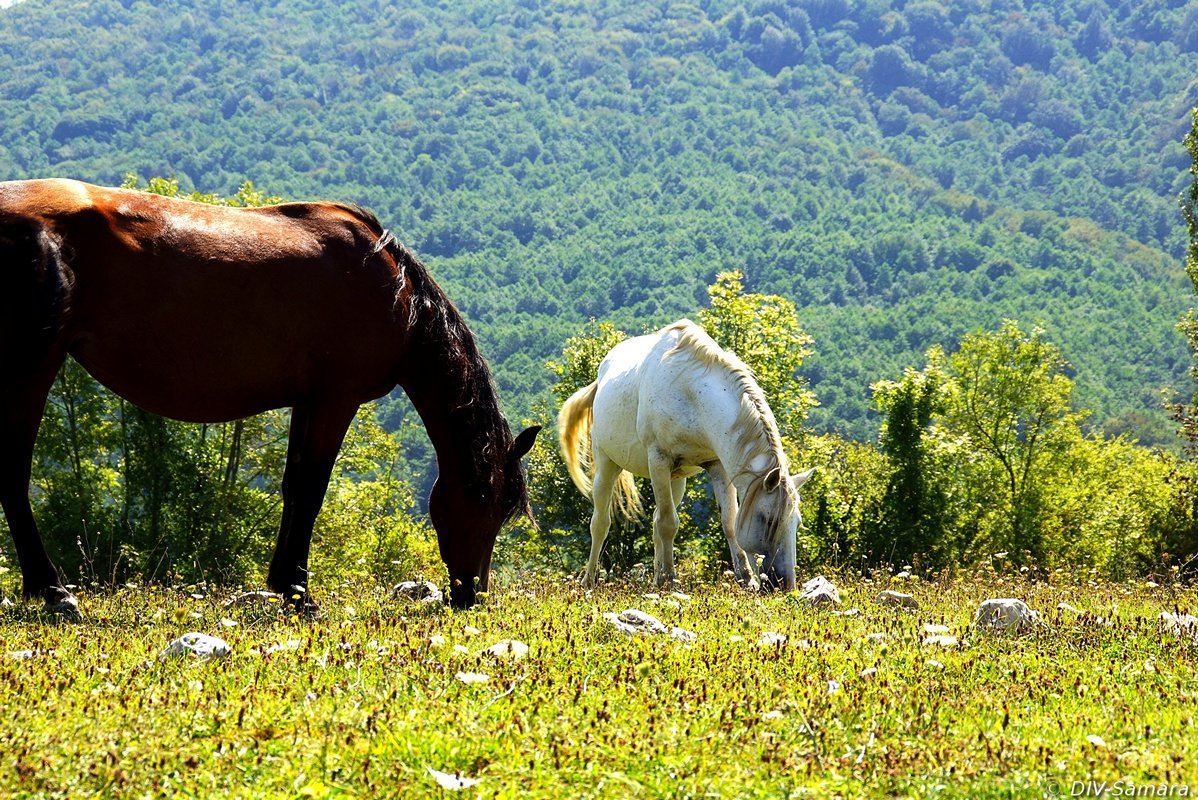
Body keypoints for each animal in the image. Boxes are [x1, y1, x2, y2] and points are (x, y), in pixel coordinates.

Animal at [0, 178, 539, 608]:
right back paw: (52, 591)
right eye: (489, 501)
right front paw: (301, 594)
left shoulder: (307, 400)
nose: (471, 595)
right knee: (13, 475)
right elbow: (312, 490)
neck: (395, 292)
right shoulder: (336, 399)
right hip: (31, 368)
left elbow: (293, 487)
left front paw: (285, 584)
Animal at [560, 320, 814, 591]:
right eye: (768, 520)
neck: (692, 393)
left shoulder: (717, 465)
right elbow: (668, 524)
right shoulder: (658, 459)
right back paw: (589, 580)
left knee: (655, 521)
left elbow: (728, 522)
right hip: (608, 466)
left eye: (796, 523)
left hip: (676, 479)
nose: (785, 585)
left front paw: (746, 579)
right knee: (601, 523)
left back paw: (655, 577)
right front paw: (670, 581)